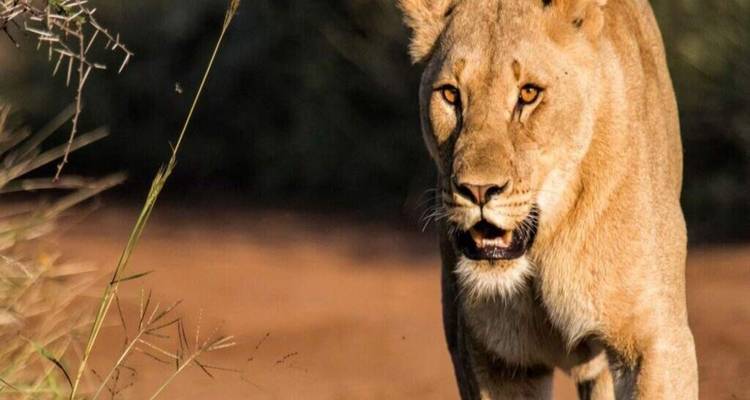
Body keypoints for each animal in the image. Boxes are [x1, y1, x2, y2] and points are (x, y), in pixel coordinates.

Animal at [397, 0, 698, 398]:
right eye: (450, 94)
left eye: (528, 94)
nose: (477, 190)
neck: (543, 251)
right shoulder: (493, 358)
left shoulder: (655, 341)